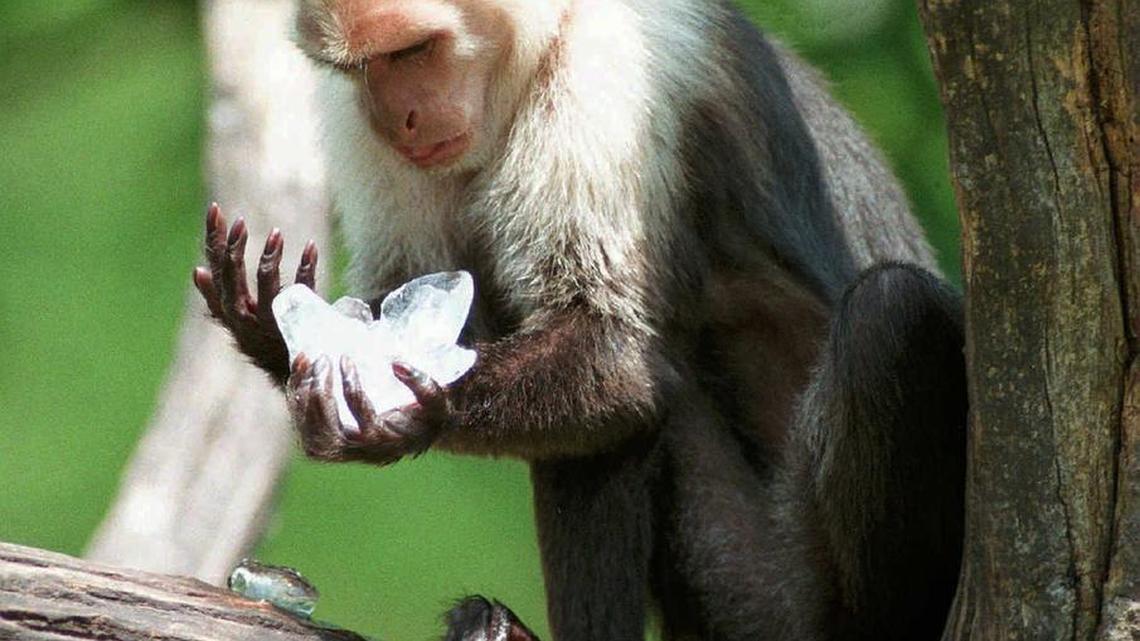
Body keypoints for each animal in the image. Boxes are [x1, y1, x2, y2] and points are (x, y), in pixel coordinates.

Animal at [193, 1, 967, 640]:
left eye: (412, 53)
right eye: (364, 67)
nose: (398, 119)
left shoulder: (608, 85)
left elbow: (617, 360)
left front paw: (407, 409)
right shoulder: (356, 116)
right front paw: (282, 336)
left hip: (786, 582)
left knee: (888, 312)